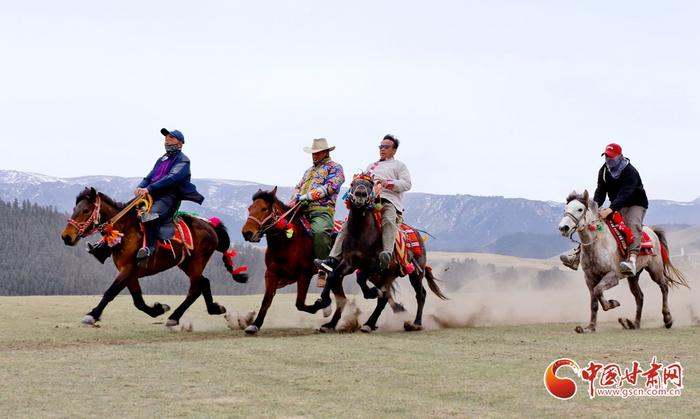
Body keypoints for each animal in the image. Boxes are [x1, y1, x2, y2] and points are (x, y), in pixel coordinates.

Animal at [60, 187, 246, 328]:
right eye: (74, 209)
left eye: (85, 210)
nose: (66, 236)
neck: (126, 231)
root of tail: (210, 225)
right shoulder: (130, 273)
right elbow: (138, 301)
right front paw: (159, 308)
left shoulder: (128, 269)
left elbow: (110, 292)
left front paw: (92, 315)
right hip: (186, 263)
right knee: (204, 283)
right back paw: (214, 308)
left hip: (197, 261)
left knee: (195, 289)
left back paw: (175, 317)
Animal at [242, 187, 348, 334]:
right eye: (250, 208)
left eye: (264, 209)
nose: (247, 233)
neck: (287, 241)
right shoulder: (272, 273)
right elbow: (266, 300)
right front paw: (255, 324)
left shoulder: (304, 274)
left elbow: (300, 303)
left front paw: (322, 304)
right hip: (338, 276)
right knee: (342, 299)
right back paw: (330, 325)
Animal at [318, 176, 446, 334]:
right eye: (353, 184)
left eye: (370, 185)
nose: (360, 194)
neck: (361, 235)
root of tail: (418, 234)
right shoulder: (349, 263)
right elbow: (332, 276)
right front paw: (325, 309)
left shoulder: (374, 264)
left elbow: (361, 279)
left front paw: (372, 292)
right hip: (389, 275)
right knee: (385, 297)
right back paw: (370, 323)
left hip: (414, 273)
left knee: (420, 294)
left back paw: (415, 323)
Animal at [560, 191, 688, 334]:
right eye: (565, 209)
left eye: (580, 209)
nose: (563, 228)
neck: (598, 244)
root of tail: (652, 232)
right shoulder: (589, 278)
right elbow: (594, 302)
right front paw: (590, 327)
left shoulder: (613, 276)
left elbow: (598, 291)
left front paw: (612, 303)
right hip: (633, 276)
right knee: (639, 296)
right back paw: (633, 324)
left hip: (655, 269)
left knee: (664, 287)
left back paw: (667, 319)